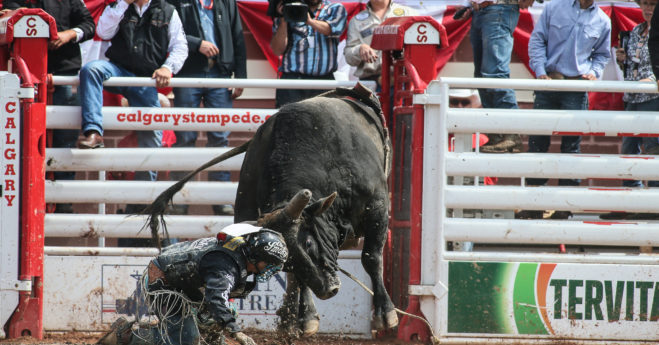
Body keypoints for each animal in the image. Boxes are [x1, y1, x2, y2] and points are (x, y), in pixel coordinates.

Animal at [146, 84, 398, 334]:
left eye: (309, 242)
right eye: (287, 261)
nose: (328, 290)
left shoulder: (377, 205)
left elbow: (371, 257)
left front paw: (386, 314)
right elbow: (298, 277)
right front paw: (306, 316)